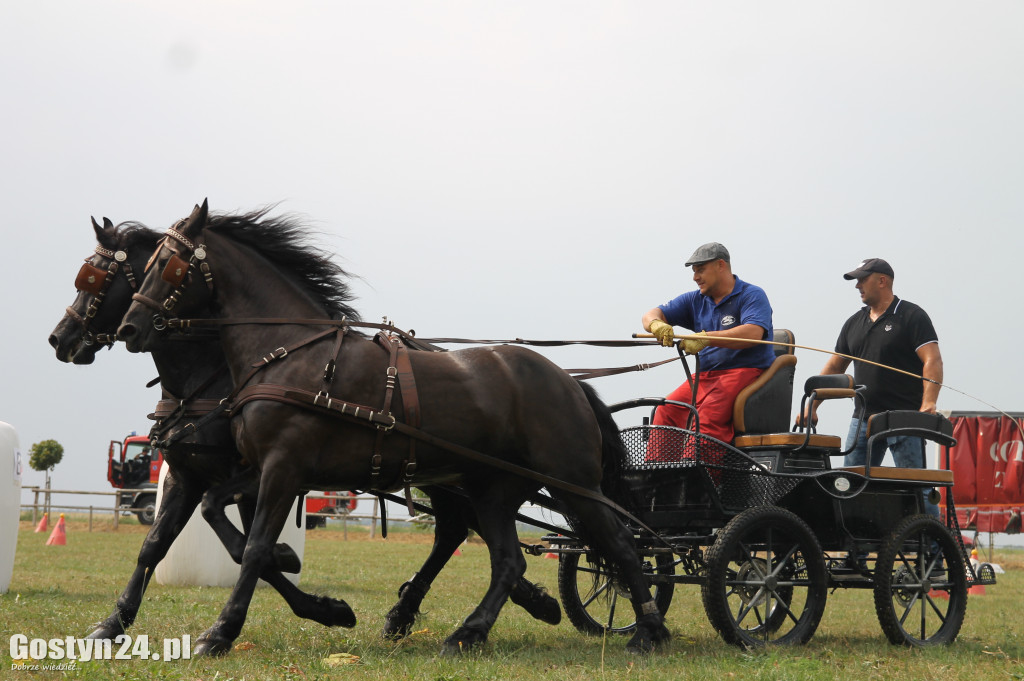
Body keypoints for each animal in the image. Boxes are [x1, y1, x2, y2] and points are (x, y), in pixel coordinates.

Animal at [117, 200, 671, 655]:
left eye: (168, 264)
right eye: (144, 266)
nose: (129, 328)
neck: (289, 355)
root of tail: (569, 382)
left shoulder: (283, 468)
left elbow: (251, 548)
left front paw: (222, 631)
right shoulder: (256, 469)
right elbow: (215, 516)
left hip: (572, 483)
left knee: (624, 546)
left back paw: (648, 632)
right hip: (493, 489)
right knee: (507, 559)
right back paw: (468, 633)